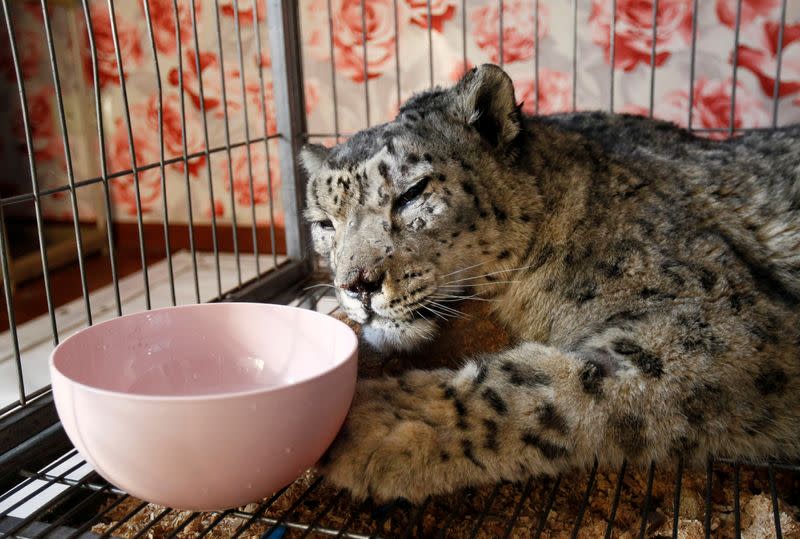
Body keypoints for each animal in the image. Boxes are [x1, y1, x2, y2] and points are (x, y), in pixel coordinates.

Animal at [300, 64, 800, 506]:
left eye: (412, 193)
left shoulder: (717, 321)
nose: (357, 285)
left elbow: (542, 384)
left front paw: (379, 421)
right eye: (324, 222)